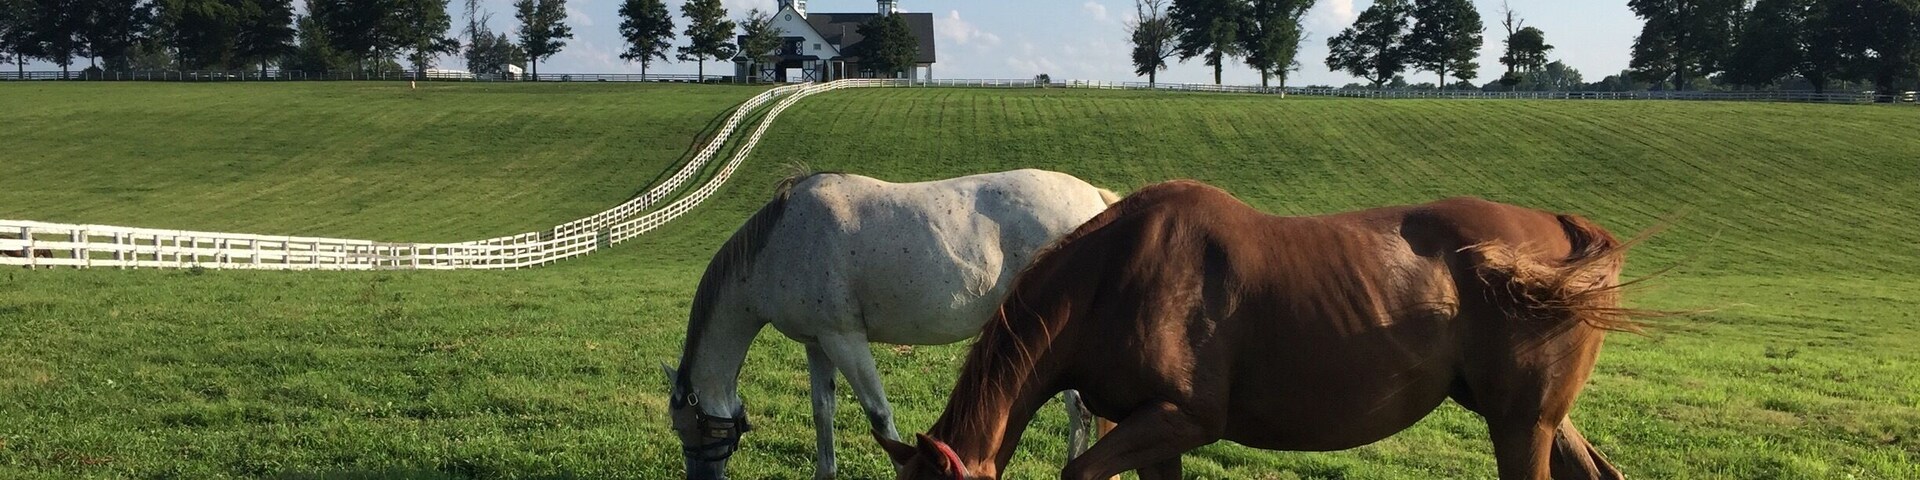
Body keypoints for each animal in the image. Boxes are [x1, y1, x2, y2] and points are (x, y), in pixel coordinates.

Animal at [663, 169, 1122, 479]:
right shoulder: (818, 343)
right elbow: (822, 410)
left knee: (1081, 411)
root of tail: (1097, 200)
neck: (778, 244)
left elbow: (879, 415)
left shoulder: (845, 339)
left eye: (689, 428)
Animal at [879, 180, 1640, 480]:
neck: (1114, 276)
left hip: (1520, 426)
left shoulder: (1181, 417)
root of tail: (1566, 232)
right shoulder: (1153, 431)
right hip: (1535, 419)